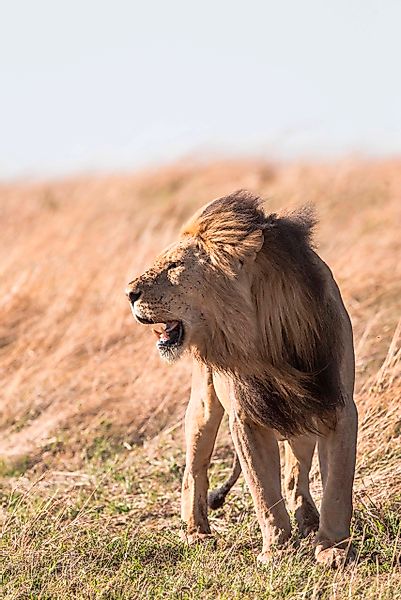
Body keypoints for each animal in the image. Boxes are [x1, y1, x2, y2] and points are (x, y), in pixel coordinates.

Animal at [125, 192, 356, 568]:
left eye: (174, 266)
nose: (128, 293)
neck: (264, 338)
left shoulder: (336, 404)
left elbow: (337, 484)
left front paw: (333, 549)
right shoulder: (245, 418)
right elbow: (263, 490)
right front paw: (277, 551)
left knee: (295, 470)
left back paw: (308, 518)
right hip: (203, 405)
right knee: (194, 469)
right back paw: (197, 532)